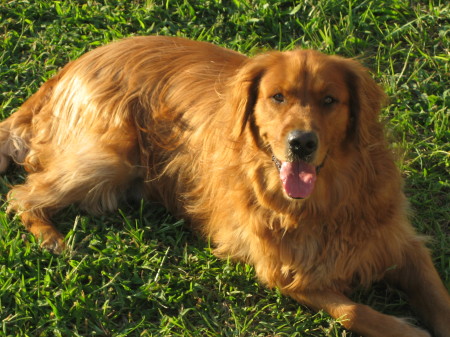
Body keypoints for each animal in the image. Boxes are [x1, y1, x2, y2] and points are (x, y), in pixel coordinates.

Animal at [0, 35, 450, 334]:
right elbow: (354, 311)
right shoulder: (282, 270)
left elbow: (438, 297)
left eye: (329, 100)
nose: (301, 143)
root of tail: (67, 70)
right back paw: (51, 237)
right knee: (21, 193)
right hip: (109, 157)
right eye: (277, 97)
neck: (323, 203)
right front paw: (406, 330)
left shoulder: (398, 243)